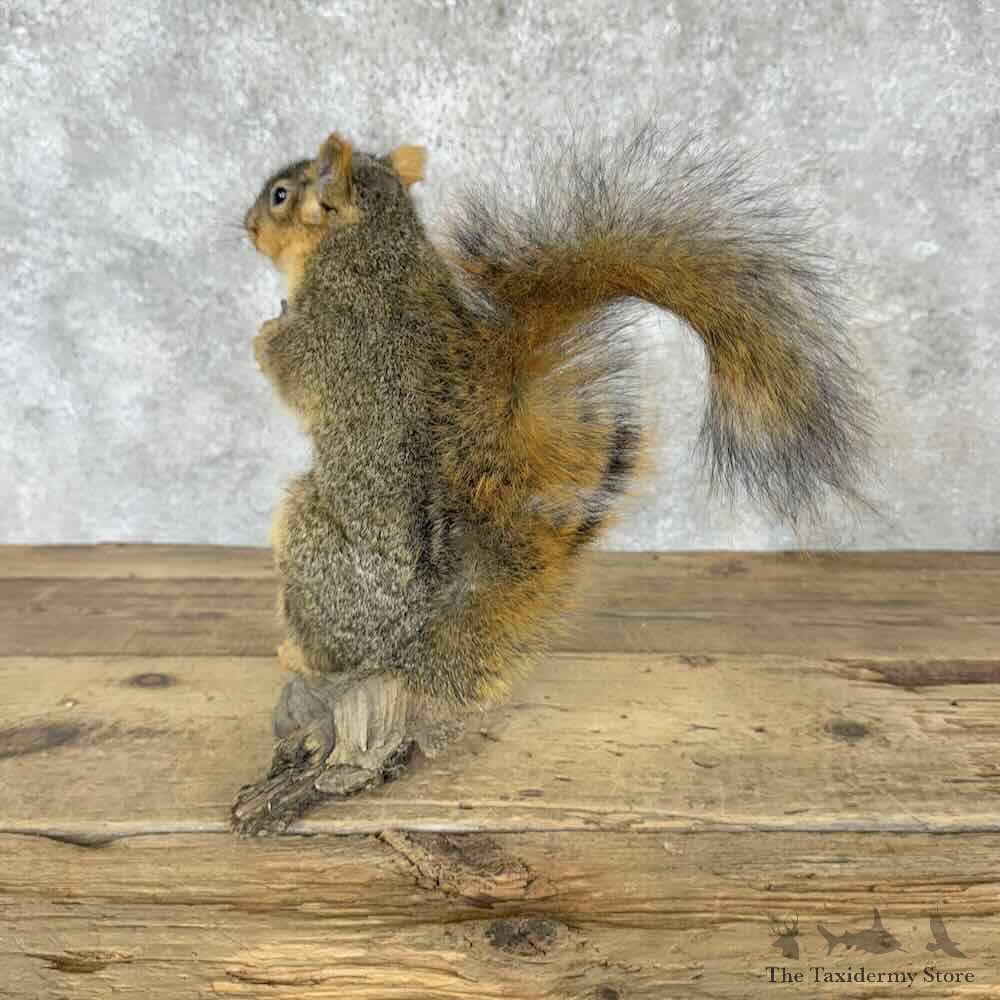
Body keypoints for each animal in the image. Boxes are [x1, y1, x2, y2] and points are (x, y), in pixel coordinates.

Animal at [231, 128, 871, 835]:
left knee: (335, 653)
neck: (375, 244)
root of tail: (411, 648)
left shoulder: (330, 331)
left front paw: (263, 334)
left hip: (308, 532)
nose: (247, 228)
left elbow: (288, 365)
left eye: (280, 195)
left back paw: (298, 656)